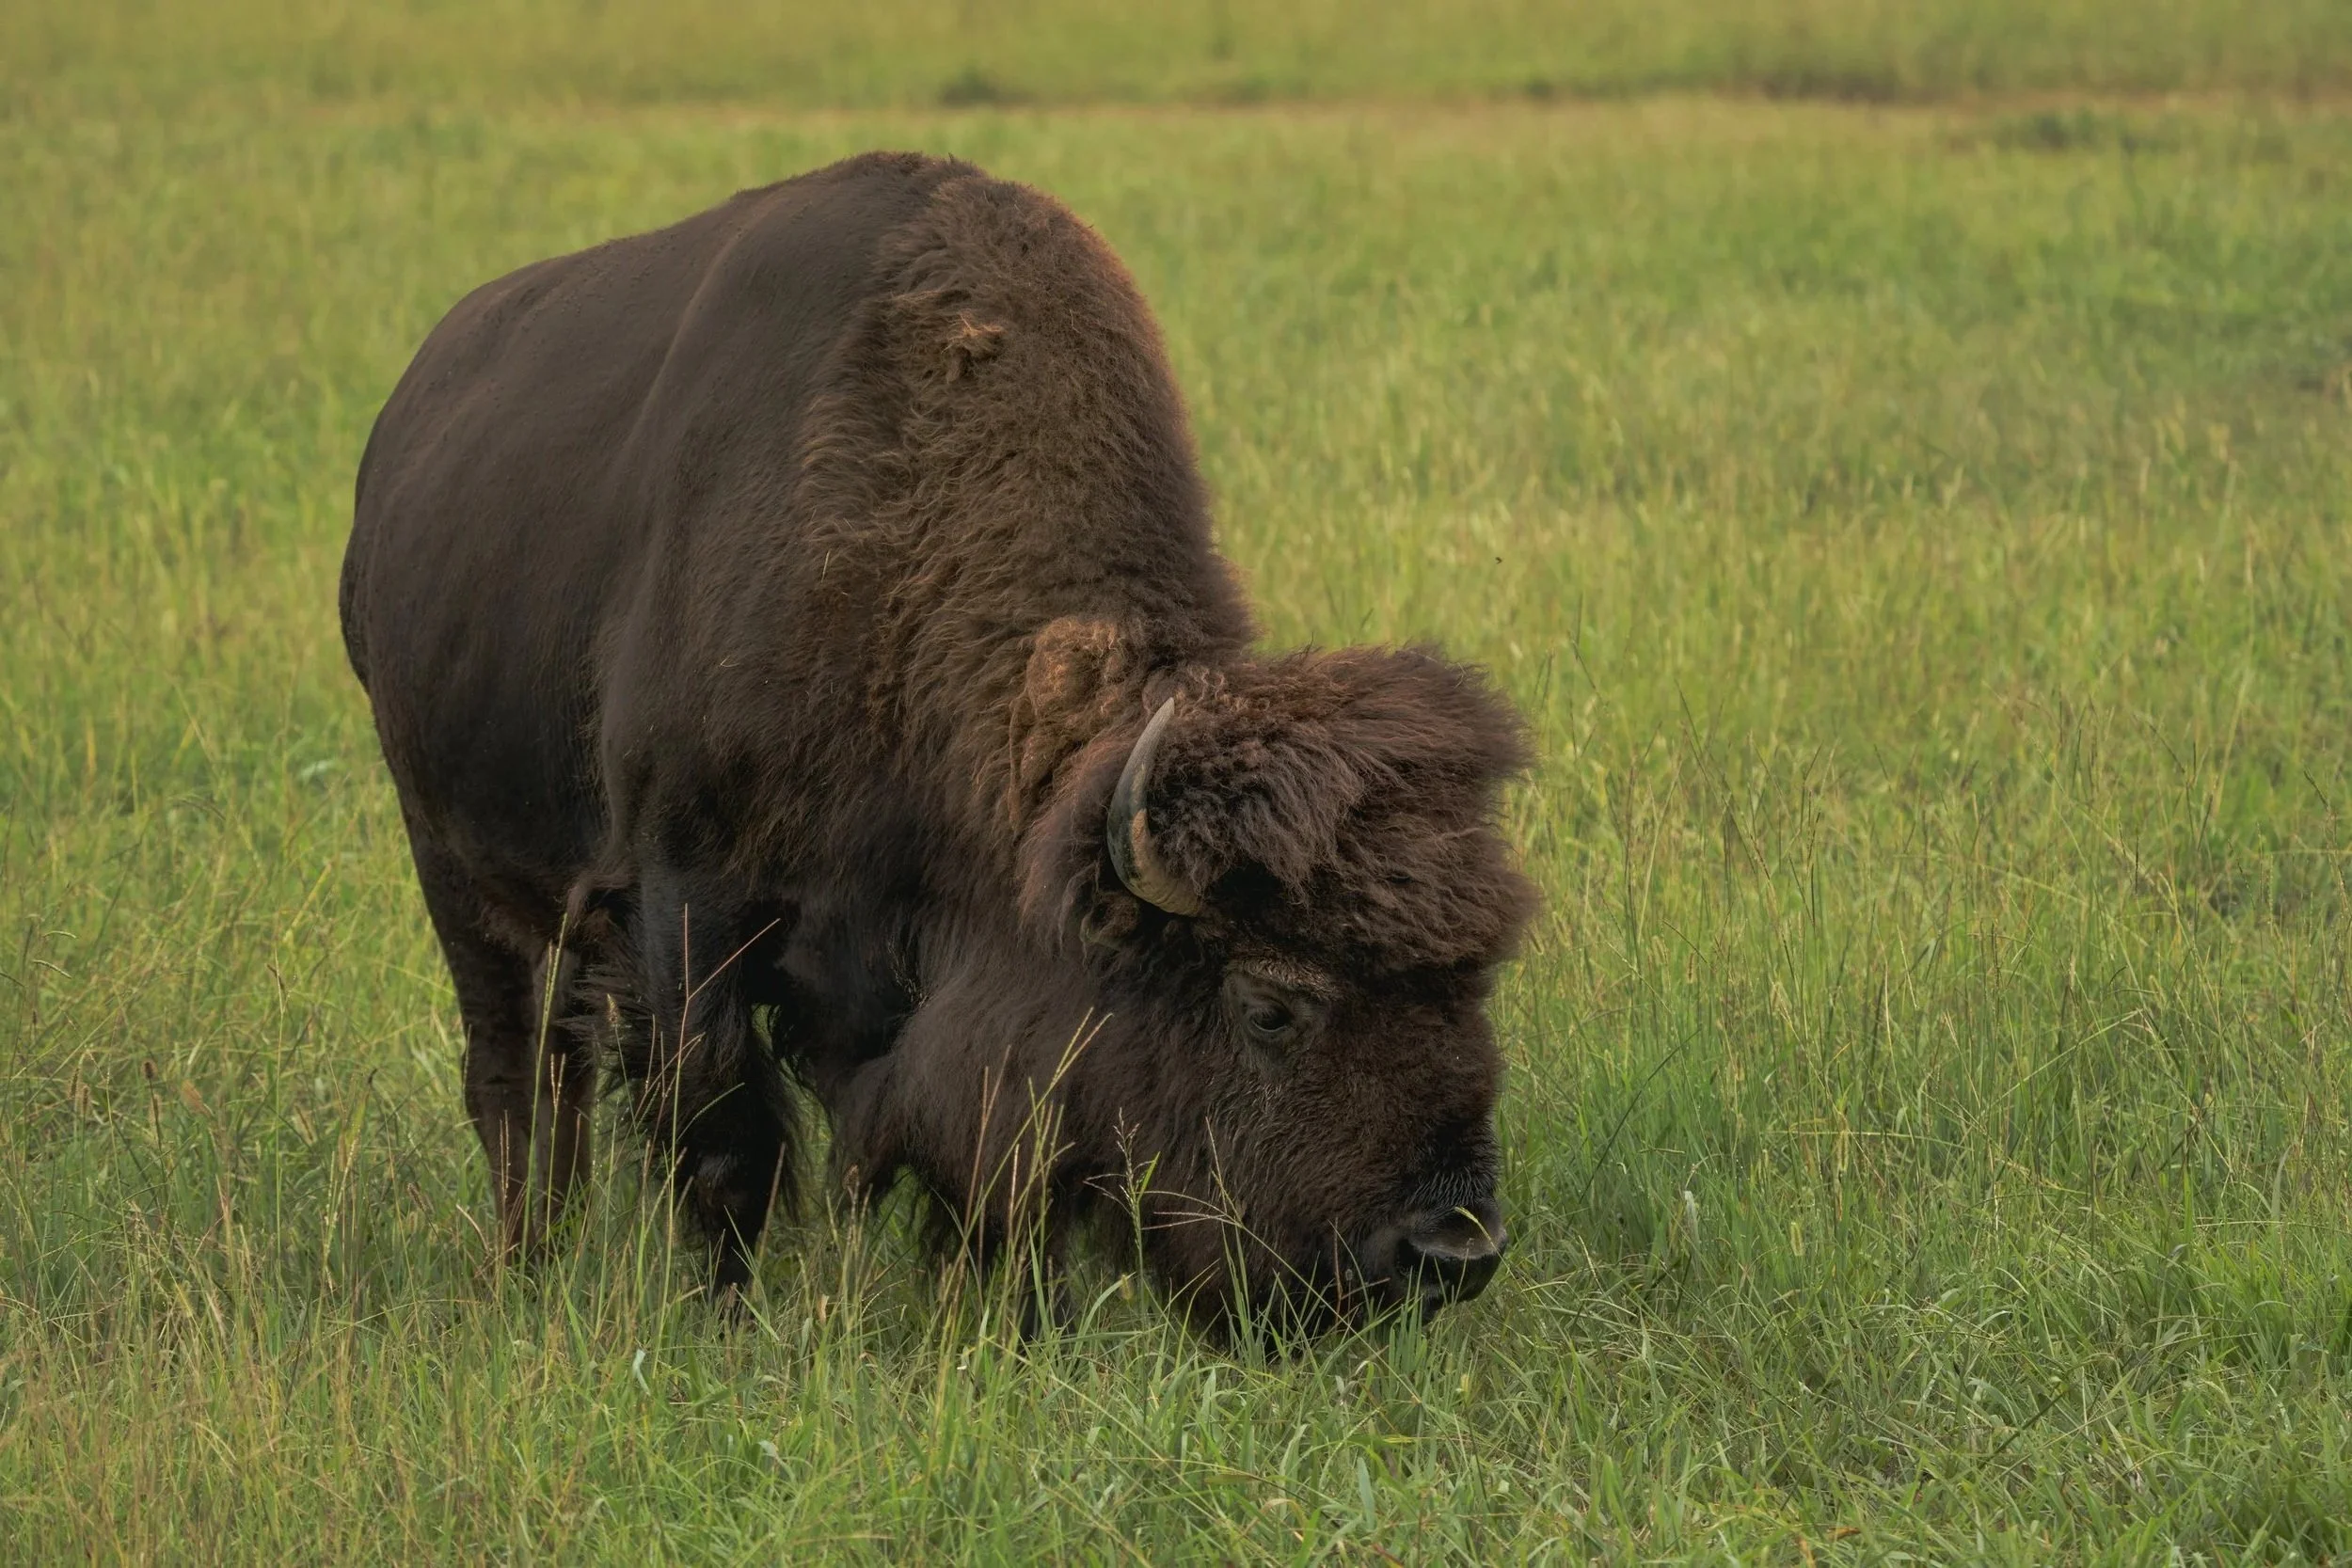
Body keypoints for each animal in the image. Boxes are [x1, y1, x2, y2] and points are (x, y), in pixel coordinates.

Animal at [340, 151, 1536, 1333]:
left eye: (1474, 981)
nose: (1449, 1249)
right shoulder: (685, 903)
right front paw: (725, 1322)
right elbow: (726, 1140)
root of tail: (404, 416)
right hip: (452, 863)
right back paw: (524, 1264)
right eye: (1269, 1005)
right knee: (517, 1074)